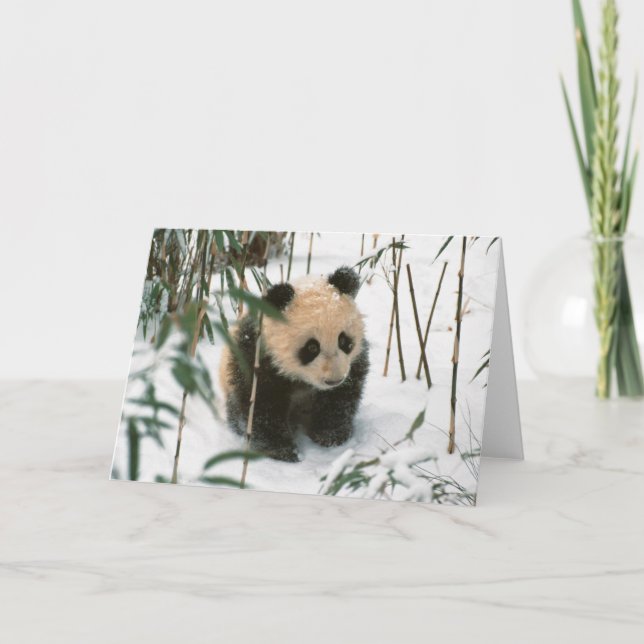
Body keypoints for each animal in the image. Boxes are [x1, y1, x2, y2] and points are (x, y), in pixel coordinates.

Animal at [219, 266, 370, 462]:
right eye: (312, 347)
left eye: (344, 341)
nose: (334, 380)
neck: (301, 378)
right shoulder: (256, 357)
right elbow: (260, 405)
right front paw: (282, 450)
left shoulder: (353, 364)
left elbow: (340, 398)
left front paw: (330, 436)